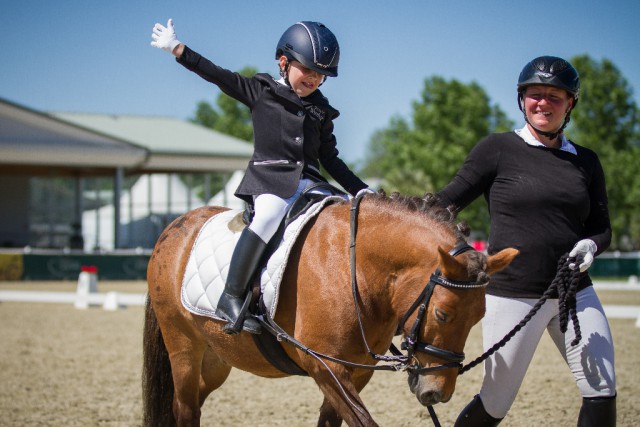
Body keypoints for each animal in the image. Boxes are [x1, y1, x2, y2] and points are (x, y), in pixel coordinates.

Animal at [142, 192, 516, 426]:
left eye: (480, 318)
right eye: (442, 315)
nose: (437, 392)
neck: (357, 270)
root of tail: (175, 227)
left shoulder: (358, 370)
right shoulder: (325, 366)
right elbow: (364, 422)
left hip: (217, 358)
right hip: (184, 346)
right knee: (185, 410)